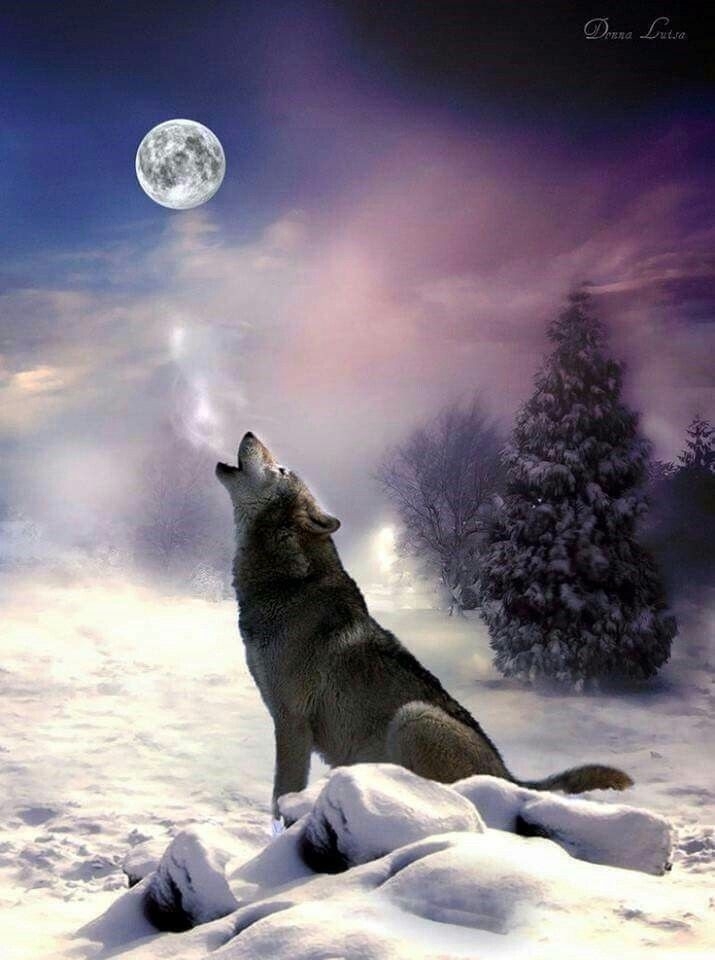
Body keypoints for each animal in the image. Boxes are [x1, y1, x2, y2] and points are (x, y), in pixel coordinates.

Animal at [216, 433, 632, 840]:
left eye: (280, 469)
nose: (250, 432)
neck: (287, 583)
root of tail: (509, 777)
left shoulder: (292, 721)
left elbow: (280, 795)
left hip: (413, 717)